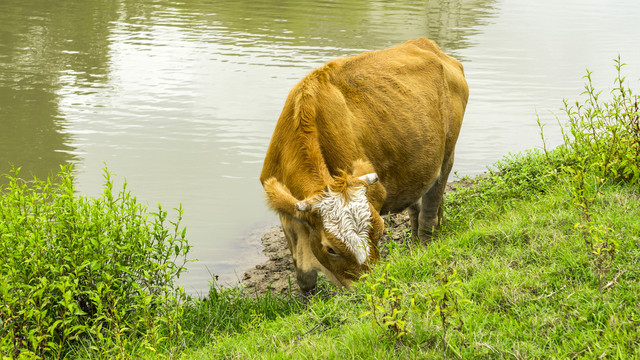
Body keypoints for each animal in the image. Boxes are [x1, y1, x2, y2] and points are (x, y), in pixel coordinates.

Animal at [258, 38, 468, 294]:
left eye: (380, 231)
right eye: (330, 249)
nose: (372, 287)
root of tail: (425, 44)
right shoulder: (288, 216)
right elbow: (304, 277)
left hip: (447, 155)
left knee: (429, 212)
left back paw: (426, 245)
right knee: (418, 209)